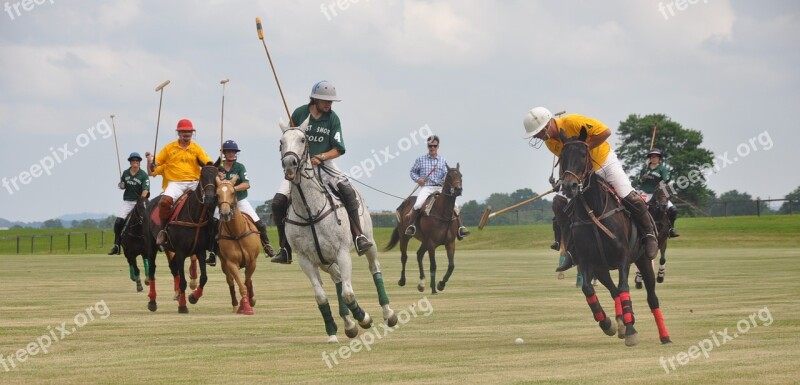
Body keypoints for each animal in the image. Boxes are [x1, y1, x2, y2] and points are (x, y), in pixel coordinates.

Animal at [141, 164, 216, 312]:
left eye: (217, 176)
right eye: (202, 176)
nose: (210, 198)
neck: (195, 217)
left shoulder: (200, 251)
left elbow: (204, 277)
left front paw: (193, 297)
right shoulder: (181, 252)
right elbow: (183, 281)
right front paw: (182, 305)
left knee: (173, 266)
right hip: (151, 244)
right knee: (152, 269)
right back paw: (152, 301)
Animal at [216, 176, 260, 314]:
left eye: (233, 192)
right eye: (217, 194)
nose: (225, 214)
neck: (237, 232)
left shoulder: (252, 262)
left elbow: (246, 282)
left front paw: (250, 301)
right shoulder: (231, 263)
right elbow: (241, 285)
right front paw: (244, 306)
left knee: (248, 279)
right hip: (224, 264)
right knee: (230, 281)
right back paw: (235, 305)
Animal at [386, 163, 462, 294]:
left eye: (461, 175)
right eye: (449, 175)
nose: (458, 189)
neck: (443, 214)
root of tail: (405, 202)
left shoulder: (450, 243)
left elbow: (451, 265)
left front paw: (441, 284)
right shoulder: (432, 243)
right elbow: (433, 265)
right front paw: (434, 289)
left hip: (424, 241)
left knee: (419, 254)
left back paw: (421, 283)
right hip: (405, 237)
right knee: (404, 257)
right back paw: (402, 280)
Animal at [560, 128, 672, 344]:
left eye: (583, 154)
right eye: (561, 156)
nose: (569, 186)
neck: (594, 212)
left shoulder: (623, 258)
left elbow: (623, 288)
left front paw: (631, 331)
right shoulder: (586, 260)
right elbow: (588, 289)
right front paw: (608, 323)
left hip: (643, 259)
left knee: (651, 297)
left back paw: (664, 336)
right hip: (601, 268)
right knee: (612, 291)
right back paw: (622, 321)